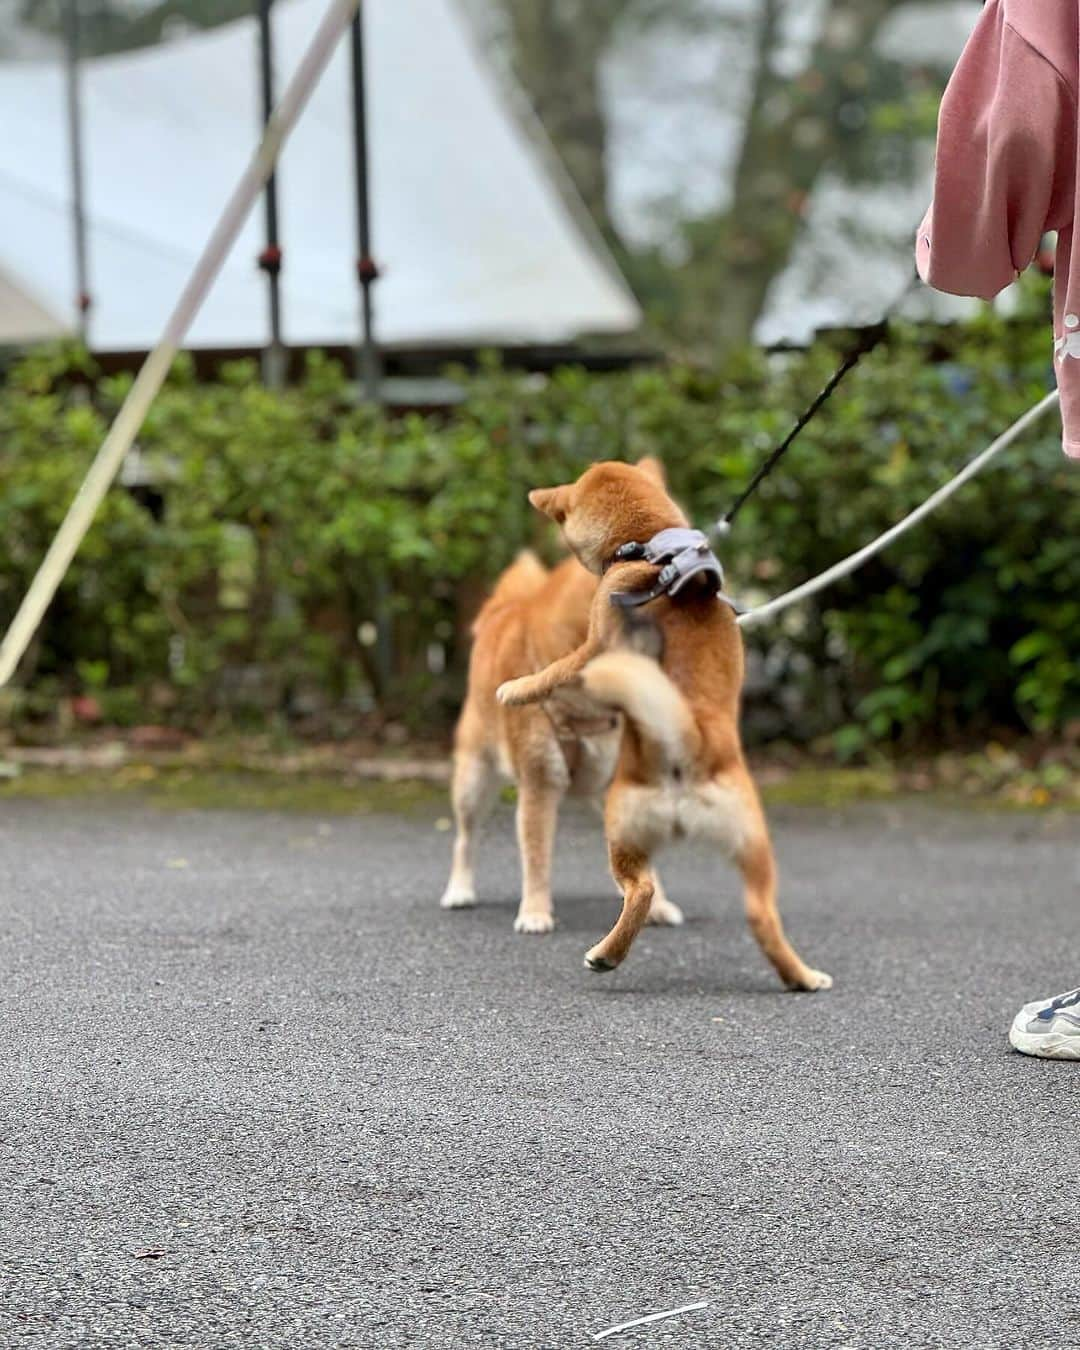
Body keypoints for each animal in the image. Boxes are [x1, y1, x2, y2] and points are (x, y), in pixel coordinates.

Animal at [440, 459, 683, 934]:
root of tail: (504, 608)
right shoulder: (539, 781)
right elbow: (537, 857)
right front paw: (535, 911)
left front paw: (658, 905)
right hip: (475, 779)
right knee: (465, 838)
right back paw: (459, 889)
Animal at [494, 456, 831, 993]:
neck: (649, 546)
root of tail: (688, 739)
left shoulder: (592, 651)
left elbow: (551, 673)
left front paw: (515, 689)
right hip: (754, 850)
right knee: (762, 918)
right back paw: (802, 977)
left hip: (621, 827)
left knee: (643, 890)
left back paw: (606, 955)